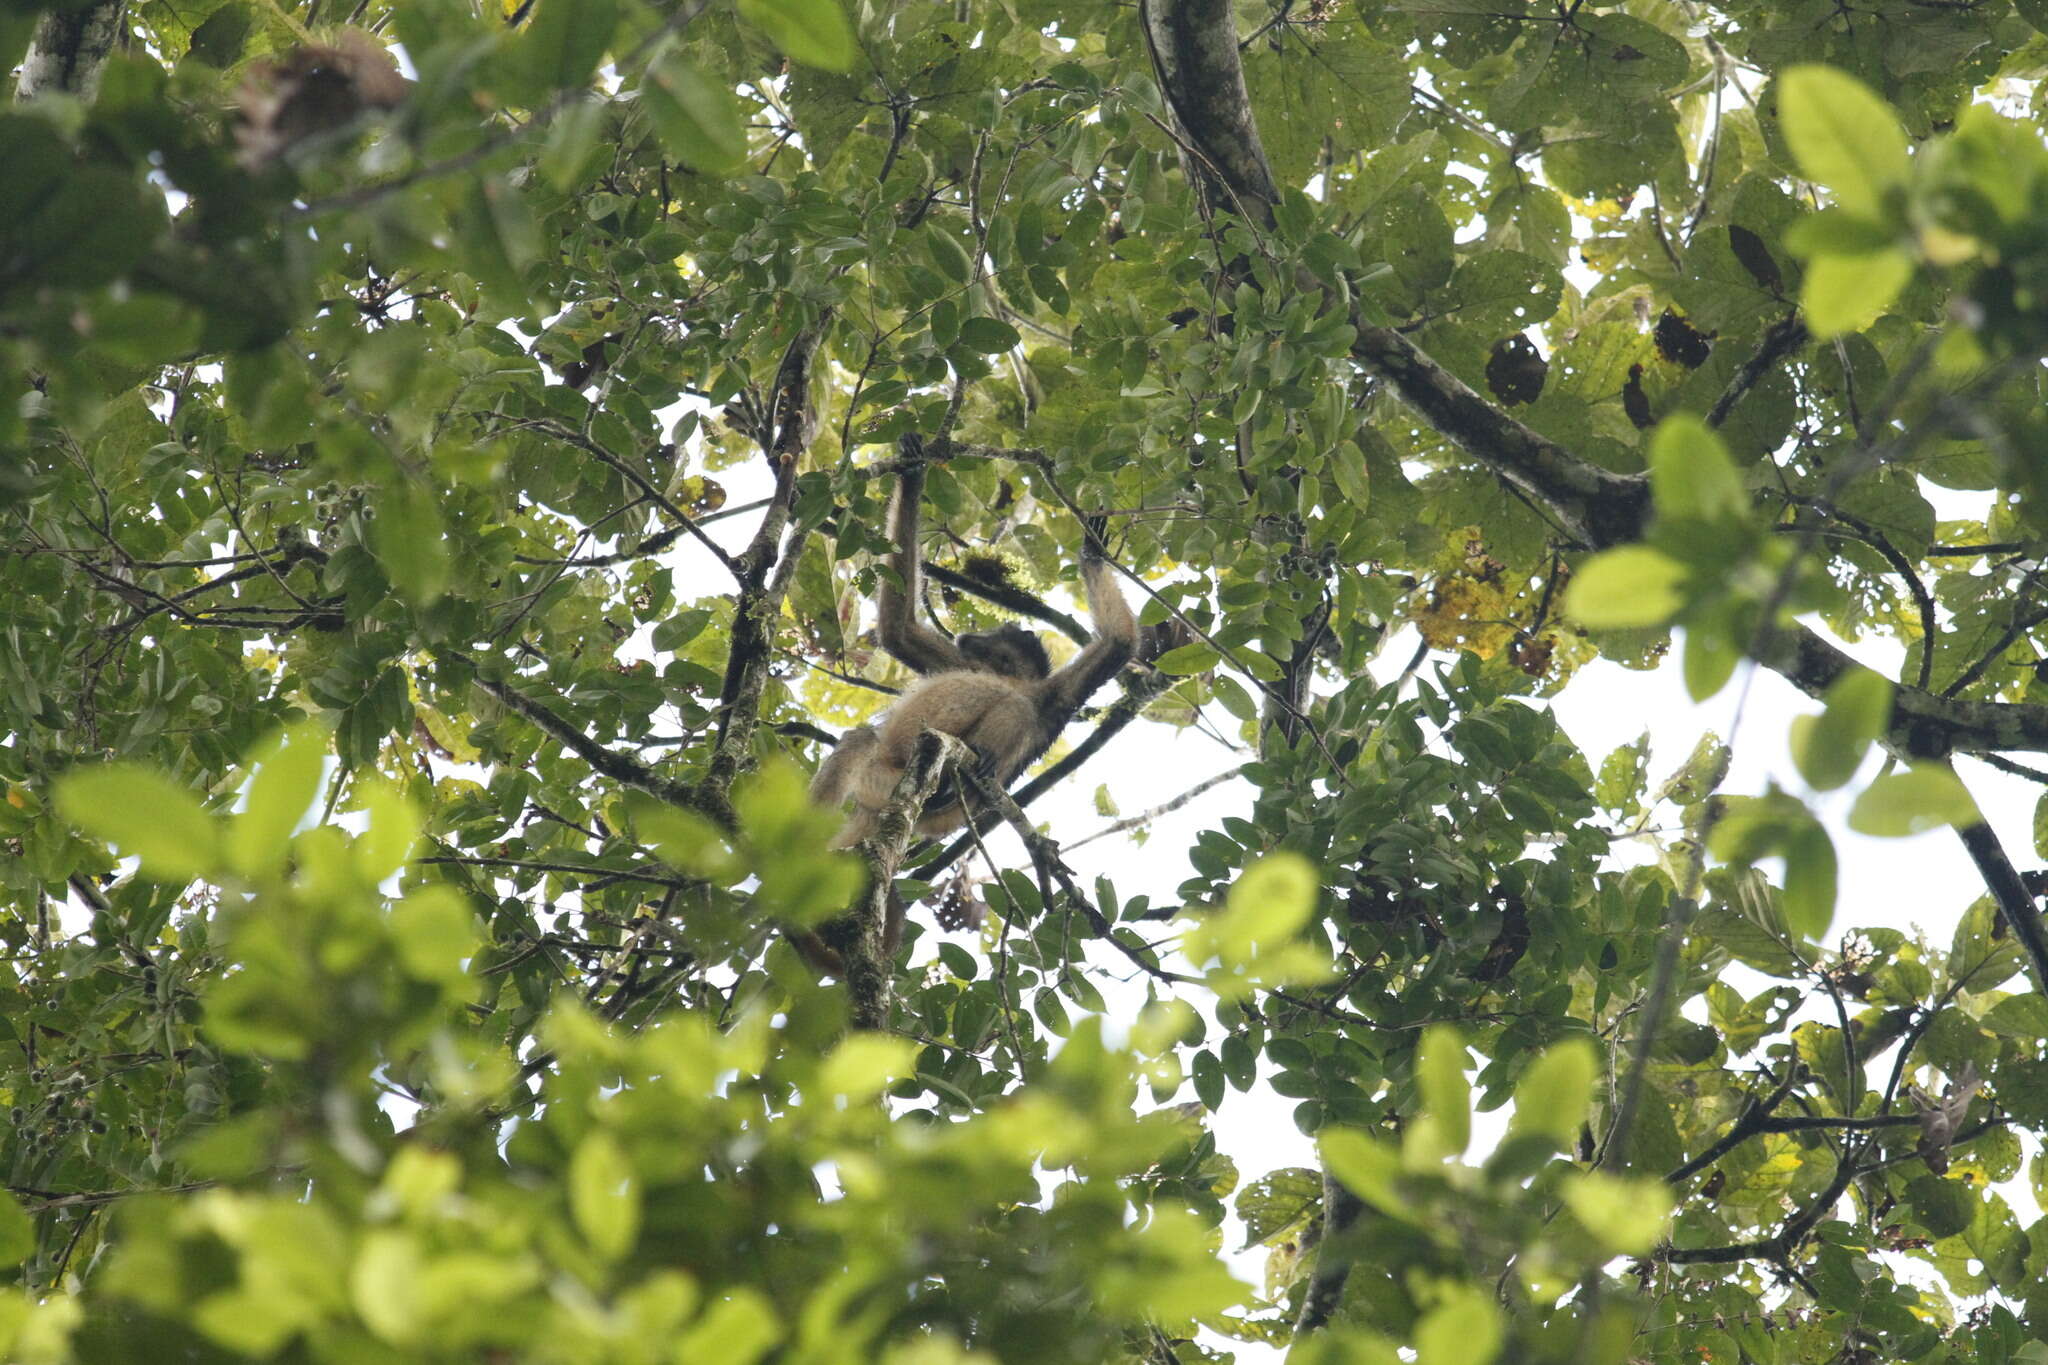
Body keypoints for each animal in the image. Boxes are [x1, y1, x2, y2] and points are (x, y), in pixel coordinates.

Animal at [811, 464, 1138, 847]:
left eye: (995, 631)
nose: (969, 634)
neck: (1005, 674)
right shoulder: (963, 662)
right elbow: (898, 630)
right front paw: (913, 471)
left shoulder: (1052, 696)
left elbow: (1119, 643)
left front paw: (1092, 552)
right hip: (884, 779)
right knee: (860, 742)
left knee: (1017, 708)